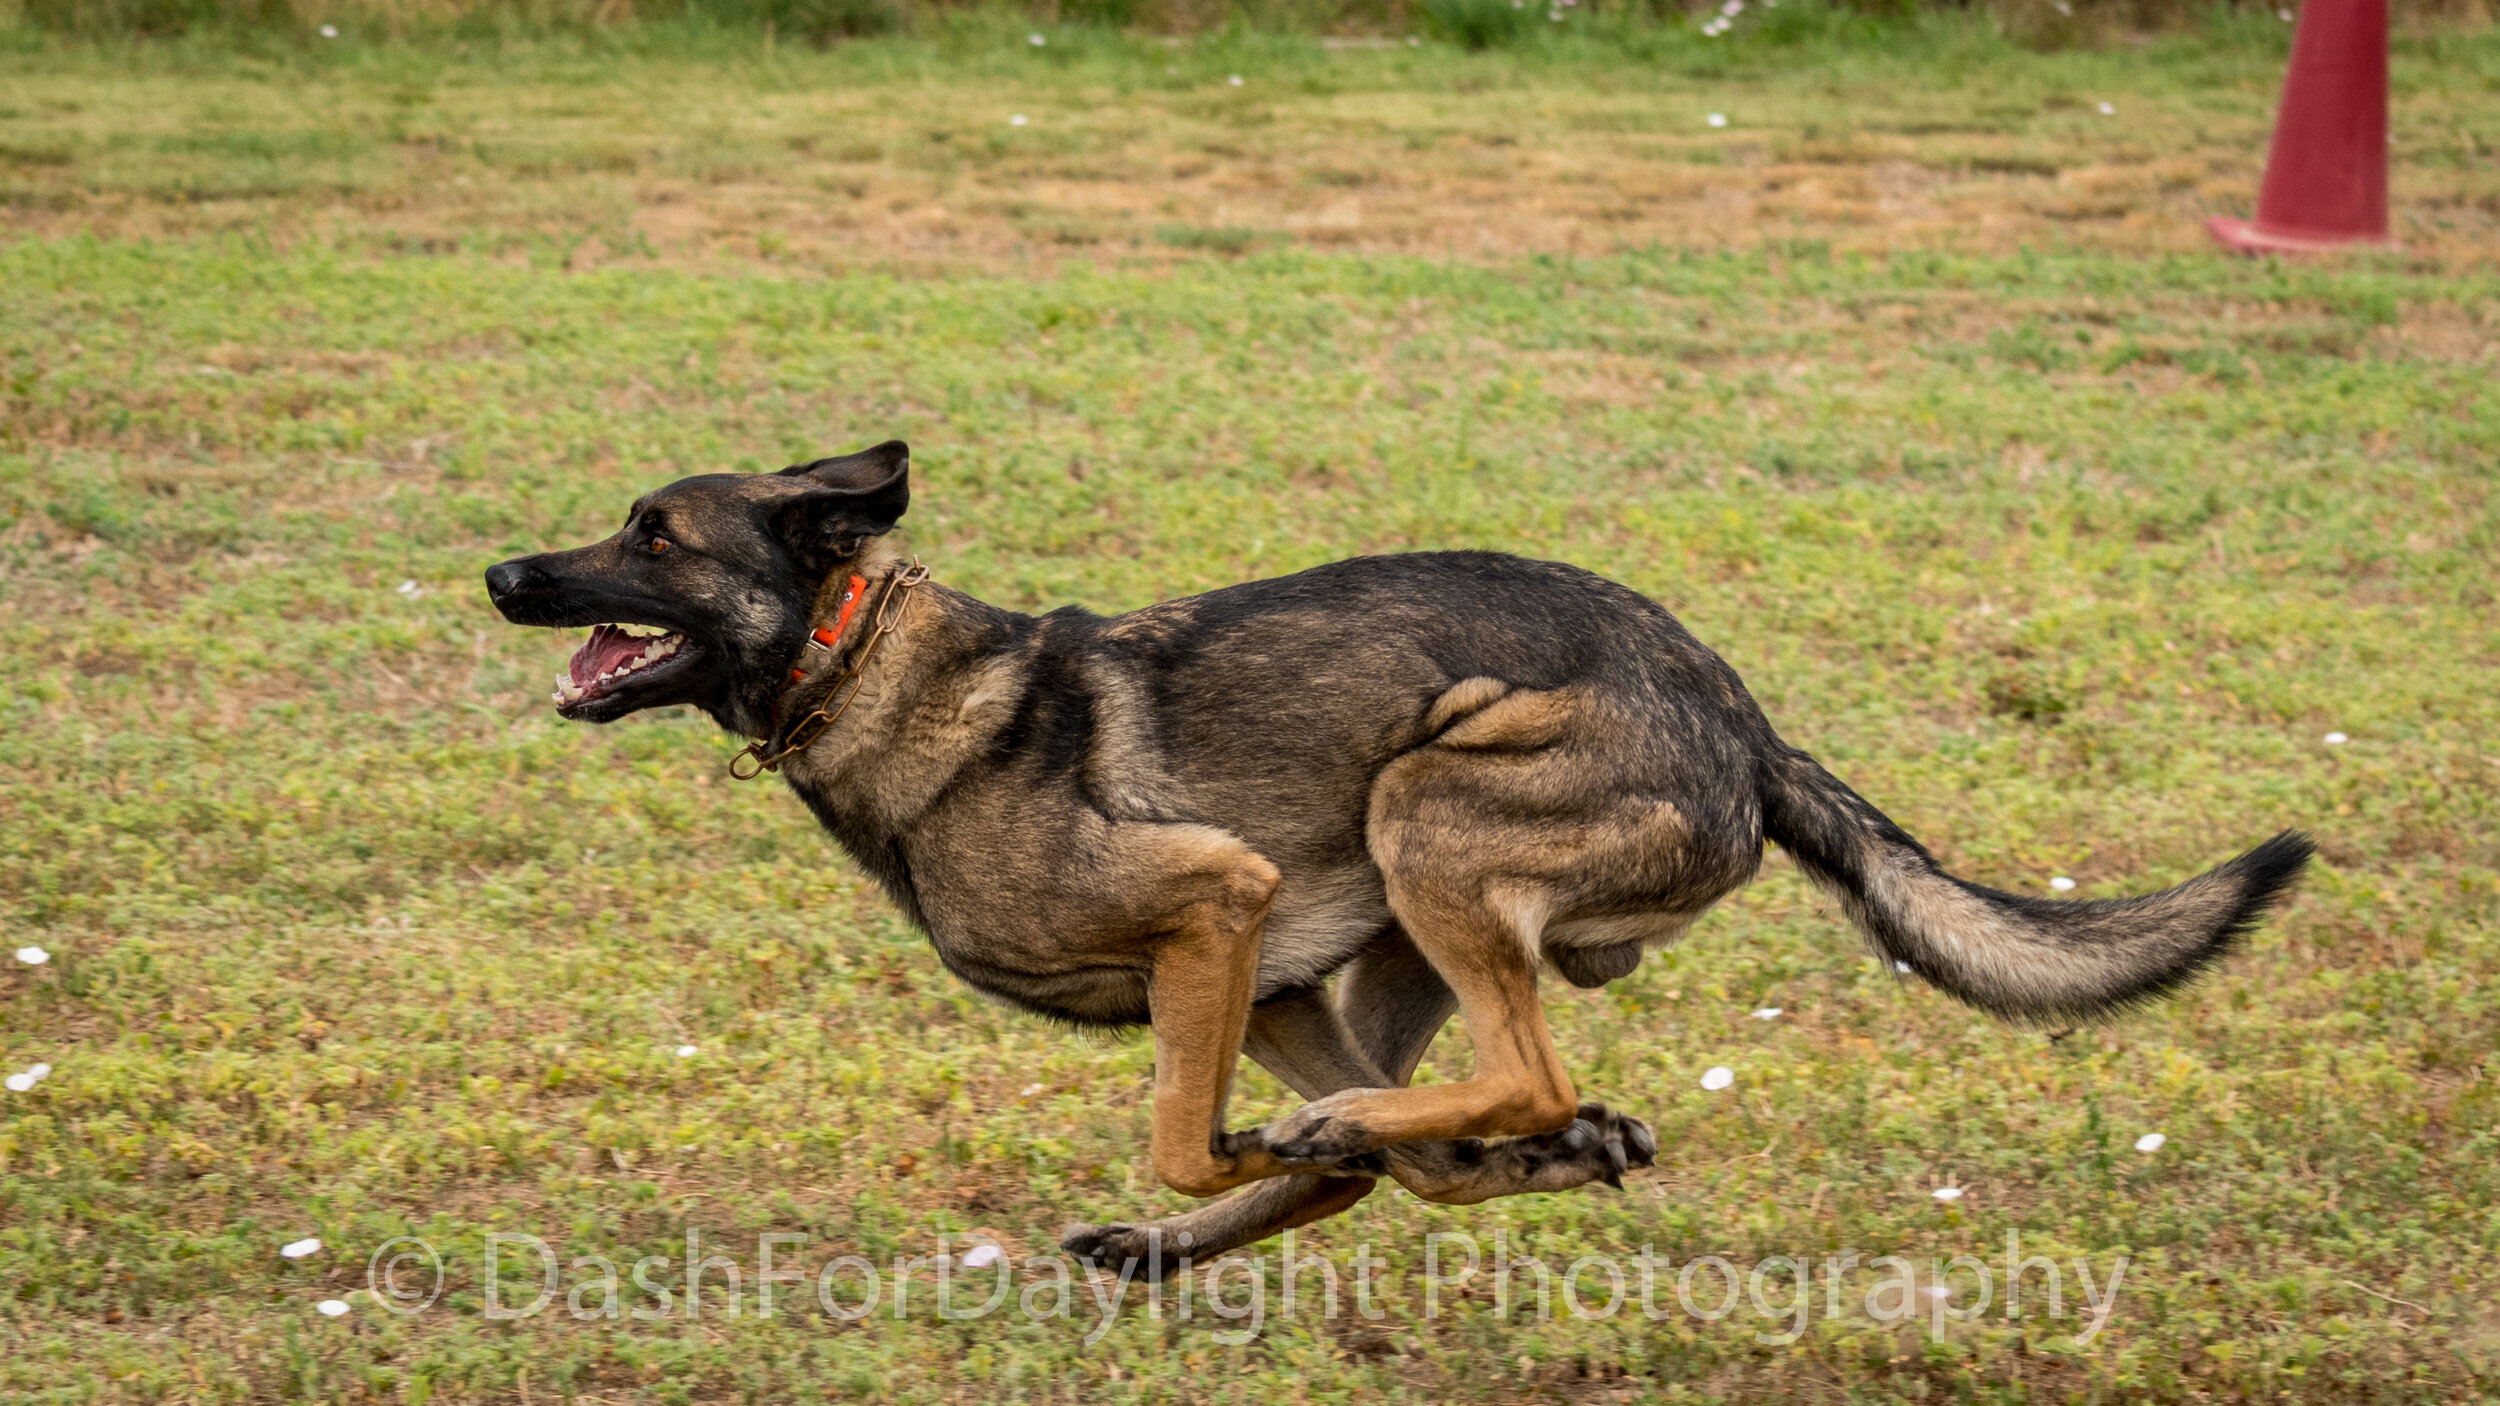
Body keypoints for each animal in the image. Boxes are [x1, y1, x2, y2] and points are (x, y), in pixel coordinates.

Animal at [477, 442, 2310, 1265]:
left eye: (653, 536)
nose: (502, 573)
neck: (863, 658)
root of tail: (1744, 719)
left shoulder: (1218, 904)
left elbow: (1190, 1140)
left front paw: (1269, 1156)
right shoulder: (1275, 972)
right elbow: (1333, 1159)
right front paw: (1494, 1163)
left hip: (1424, 803)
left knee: (1507, 1063)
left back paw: (1406, 1132)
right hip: (1397, 918)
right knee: (1460, 1099)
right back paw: (1478, 1148)